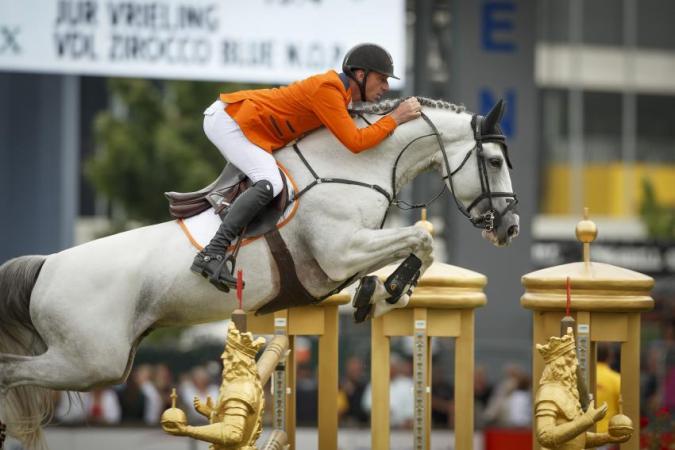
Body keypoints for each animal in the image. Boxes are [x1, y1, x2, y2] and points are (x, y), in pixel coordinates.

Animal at [0, 97, 519, 448]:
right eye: (494, 161)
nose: (510, 227)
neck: (349, 166)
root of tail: (45, 266)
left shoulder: (341, 260)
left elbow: (414, 249)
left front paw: (381, 294)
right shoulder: (339, 252)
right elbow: (421, 239)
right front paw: (387, 288)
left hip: (98, 360)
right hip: (89, 361)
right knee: (10, 372)